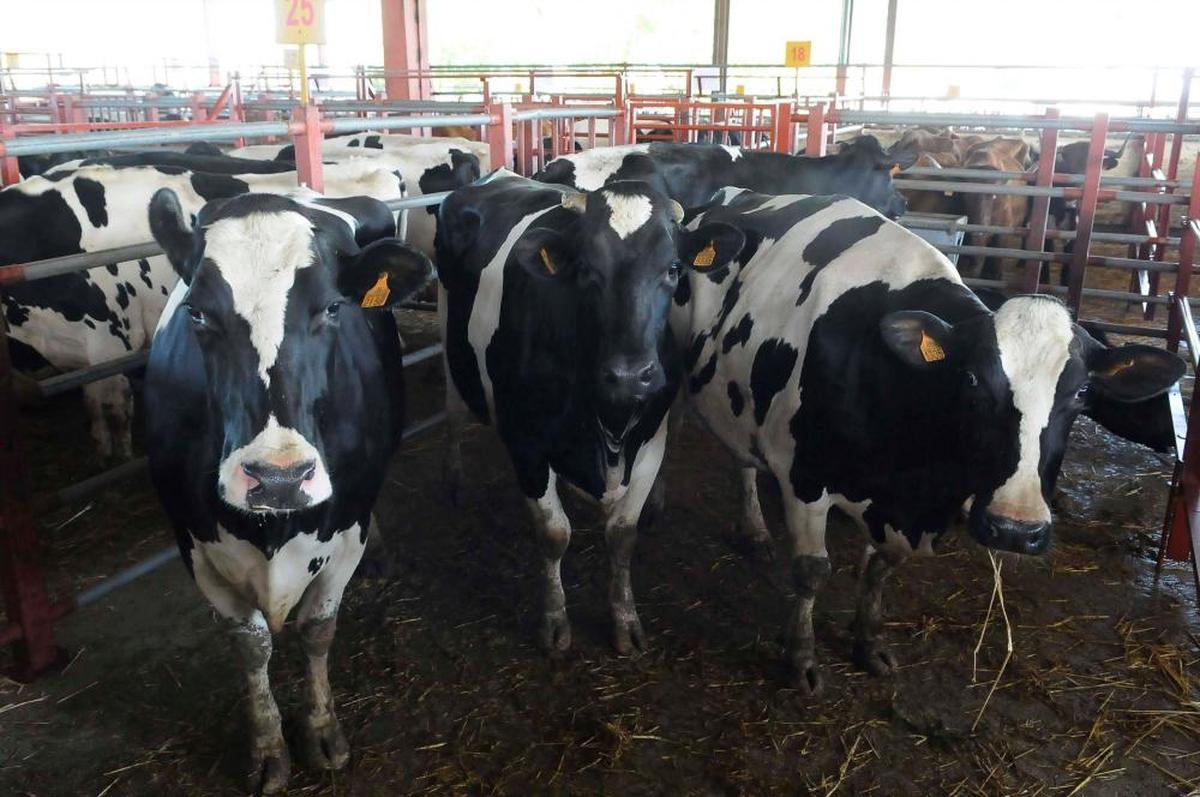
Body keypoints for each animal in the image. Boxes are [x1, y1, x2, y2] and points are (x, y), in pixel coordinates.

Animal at [146, 189, 432, 792]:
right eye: (196, 312)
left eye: (333, 308)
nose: (278, 478)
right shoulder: (192, 542)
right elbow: (251, 644)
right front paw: (267, 748)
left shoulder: (346, 530)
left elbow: (317, 630)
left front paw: (321, 731)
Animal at [436, 171, 744, 652]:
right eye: (585, 270)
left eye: (673, 269)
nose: (630, 375)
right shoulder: (526, 443)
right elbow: (553, 534)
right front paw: (555, 621)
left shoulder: (651, 440)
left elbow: (622, 536)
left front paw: (625, 619)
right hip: (450, 344)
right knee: (452, 416)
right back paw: (455, 483)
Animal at [672, 187, 1185, 691]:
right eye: (972, 379)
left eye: (1081, 393)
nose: (1015, 529)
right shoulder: (805, 481)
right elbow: (812, 572)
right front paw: (801, 659)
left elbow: (880, 568)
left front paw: (869, 642)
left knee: (743, 455)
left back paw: (753, 528)